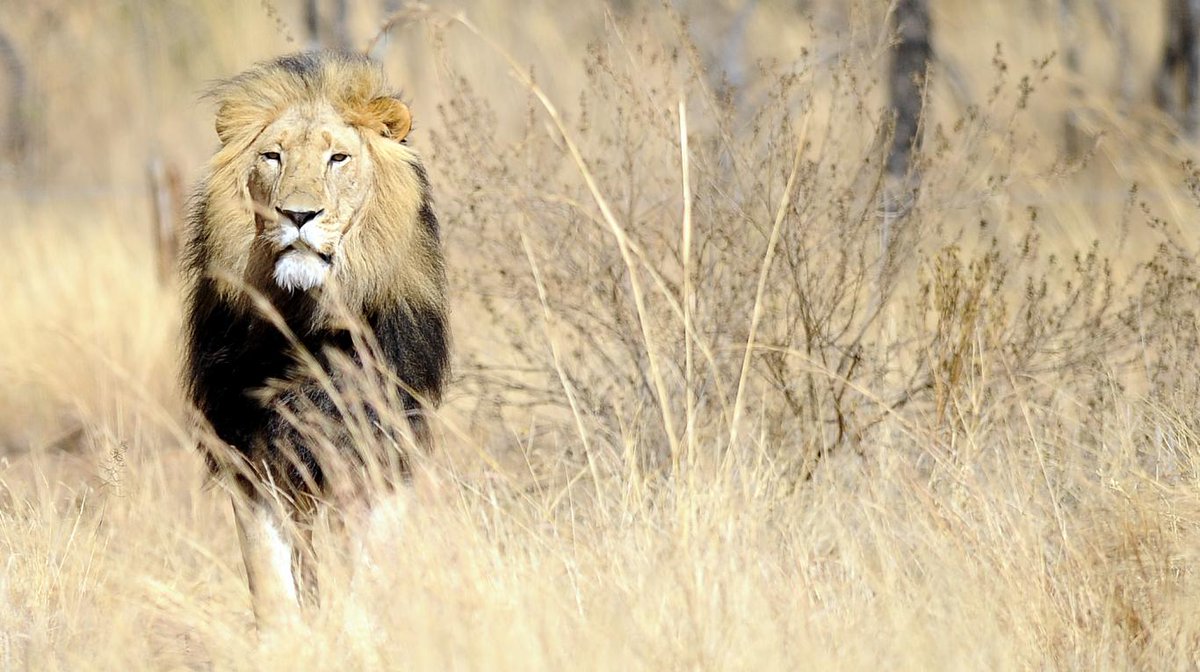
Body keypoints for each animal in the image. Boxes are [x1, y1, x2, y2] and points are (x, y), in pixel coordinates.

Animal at [180, 51, 449, 628]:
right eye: (272, 157)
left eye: (338, 158)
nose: (298, 215)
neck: (306, 323)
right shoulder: (250, 452)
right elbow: (269, 578)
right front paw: (285, 638)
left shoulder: (380, 448)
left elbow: (366, 575)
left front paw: (357, 632)